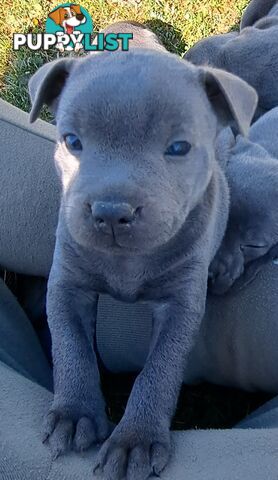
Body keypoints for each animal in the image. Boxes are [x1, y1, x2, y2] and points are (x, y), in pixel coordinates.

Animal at [28, 22, 256, 480]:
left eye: (179, 148)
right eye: (72, 141)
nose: (111, 212)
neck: (127, 263)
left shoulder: (181, 303)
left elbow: (160, 369)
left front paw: (136, 440)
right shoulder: (66, 282)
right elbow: (70, 344)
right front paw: (74, 414)